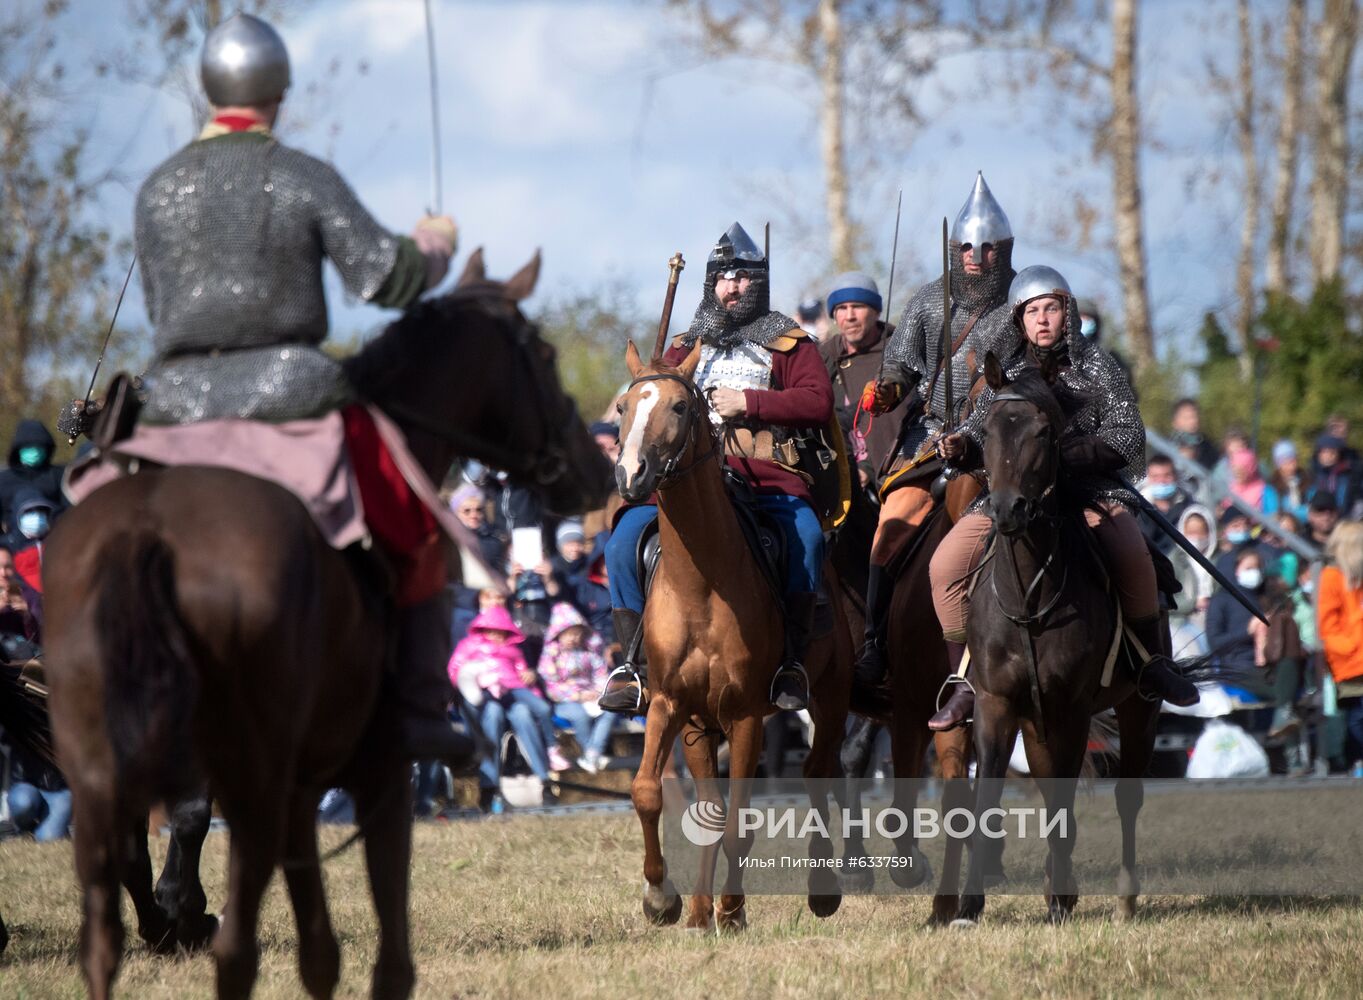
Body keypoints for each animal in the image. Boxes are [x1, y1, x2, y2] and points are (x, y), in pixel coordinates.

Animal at [43, 254, 607, 997]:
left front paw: (175, 916)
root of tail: (144, 533)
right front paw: (183, 912)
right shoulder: (365, 766)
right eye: (541, 354)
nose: (595, 471)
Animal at [610, 343, 845, 931]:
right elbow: (649, 792)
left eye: (678, 406)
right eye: (624, 407)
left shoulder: (744, 715)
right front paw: (664, 899)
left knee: (817, 772)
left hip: (831, 696)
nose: (630, 474)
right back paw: (698, 909)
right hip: (699, 726)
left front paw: (733, 909)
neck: (701, 581)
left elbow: (740, 819)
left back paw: (822, 890)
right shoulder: (672, 705)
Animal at [959, 356, 1161, 926]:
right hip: (1036, 721)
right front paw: (967, 905)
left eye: (1044, 432)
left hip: (1139, 706)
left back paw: (1121, 898)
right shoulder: (997, 703)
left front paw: (1057, 903)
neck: (1030, 597)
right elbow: (988, 795)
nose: (1008, 509)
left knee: (1127, 796)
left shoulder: (1071, 707)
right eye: (986, 431)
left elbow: (1065, 803)